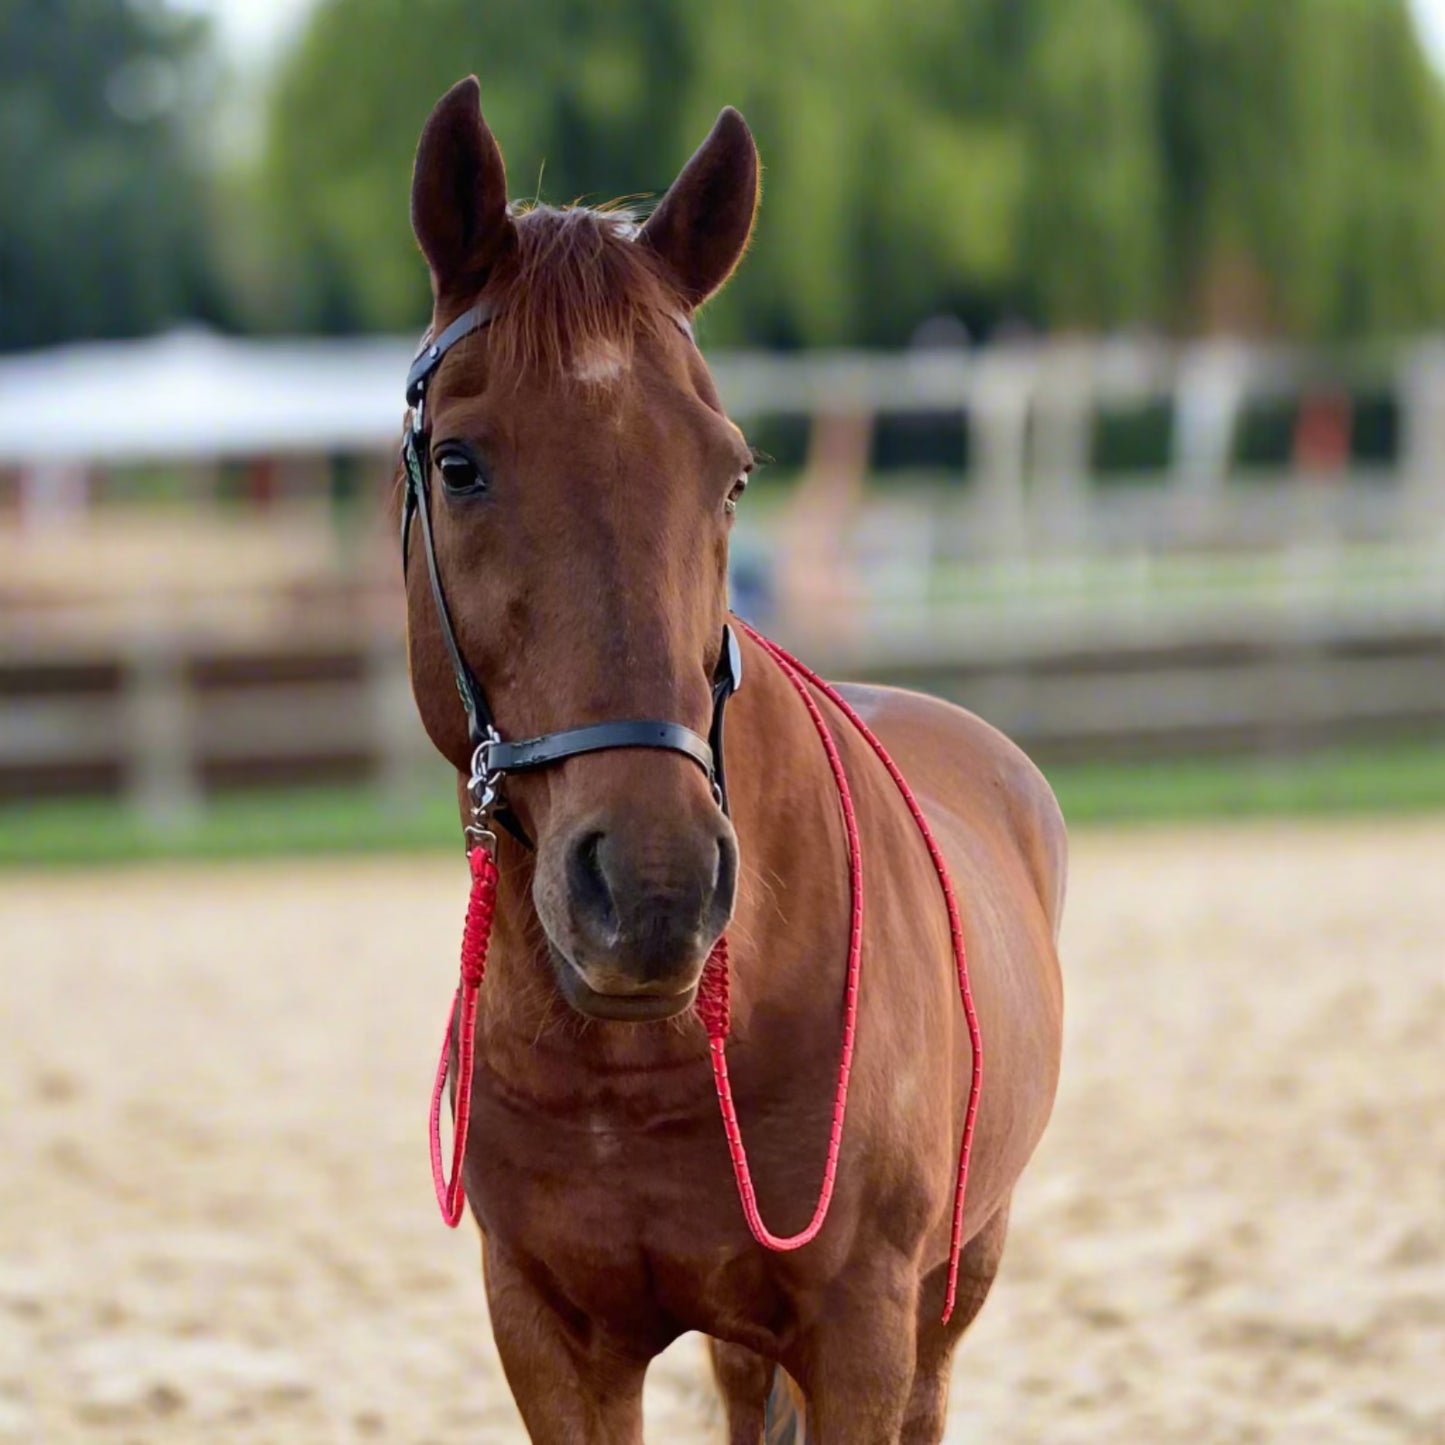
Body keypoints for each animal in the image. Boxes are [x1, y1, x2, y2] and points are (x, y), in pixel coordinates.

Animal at [401, 82, 1069, 1445]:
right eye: (460, 462)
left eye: (732, 471)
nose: (651, 890)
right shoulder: (548, 1334)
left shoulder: (862, 1329)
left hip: (953, 1286)